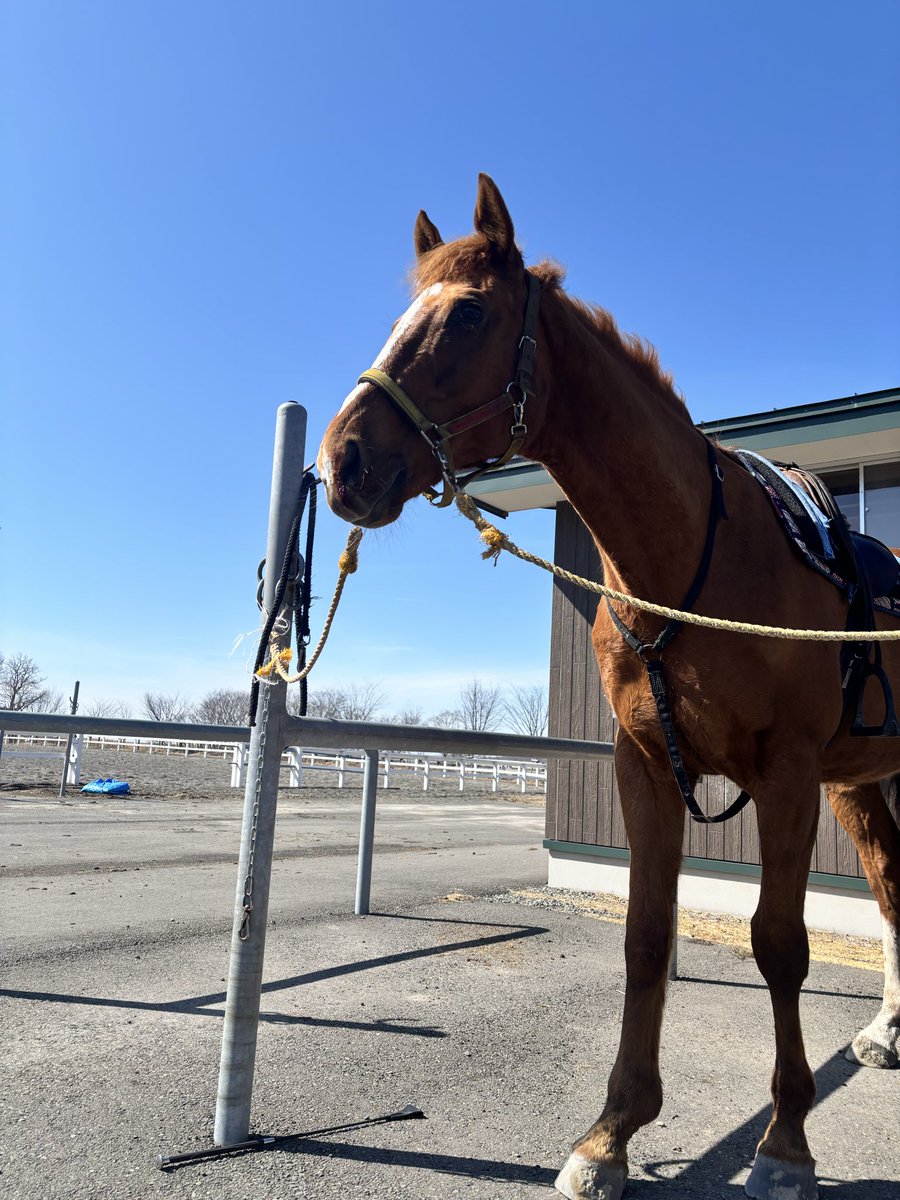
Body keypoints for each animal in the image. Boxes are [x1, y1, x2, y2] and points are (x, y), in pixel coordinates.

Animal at [317, 174, 900, 1200]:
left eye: (469, 315)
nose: (342, 458)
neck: (697, 554)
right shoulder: (648, 767)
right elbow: (645, 938)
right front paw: (612, 1132)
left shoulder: (786, 776)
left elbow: (779, 945)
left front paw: (786, 1141)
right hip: (861, 785)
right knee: (894, 886)